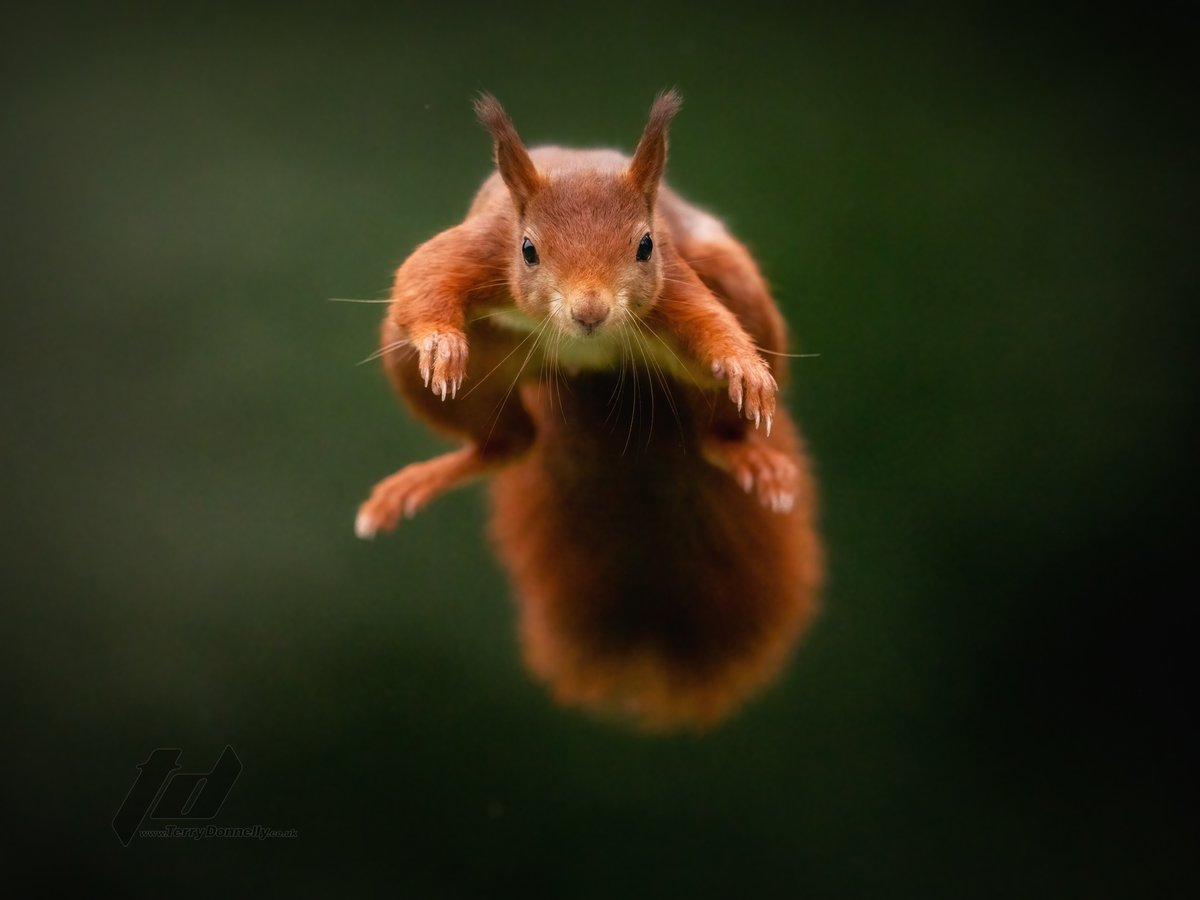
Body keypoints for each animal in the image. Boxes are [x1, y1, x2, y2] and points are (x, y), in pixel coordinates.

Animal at [355, 91, 822, 731]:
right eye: (529, 250)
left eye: (644, 245)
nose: (590, 312)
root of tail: (587, 370)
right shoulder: (482, 244)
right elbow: (422, 278)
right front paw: (441, 343)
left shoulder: (674, 279)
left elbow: (712, 326)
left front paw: (743, 368)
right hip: (428, 363)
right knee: (509, 443)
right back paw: (423, 478)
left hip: (733, 281)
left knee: (709, 430)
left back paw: (743, 449)